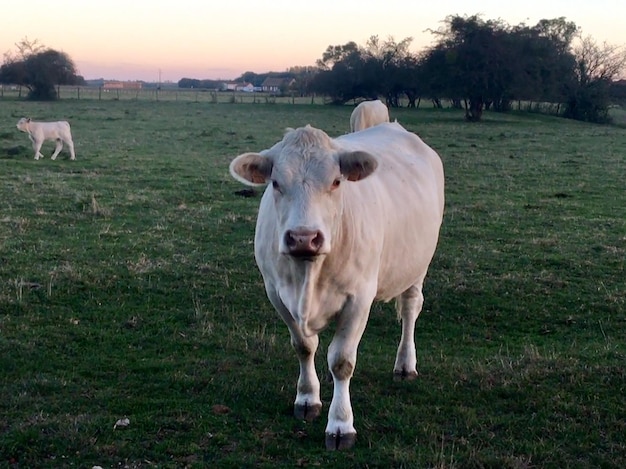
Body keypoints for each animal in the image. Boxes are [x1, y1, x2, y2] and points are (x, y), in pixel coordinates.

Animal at [229, 120, 444, 450]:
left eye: (336, 181)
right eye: (276, 183)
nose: (303, 238)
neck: (308, 275)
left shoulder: (359, 298)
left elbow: (342, 361)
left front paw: (341, 424)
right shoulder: (276, 294)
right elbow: (304, 347)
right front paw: (307, 398)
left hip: (417, 264)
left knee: (410, 309)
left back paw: (405, 364)